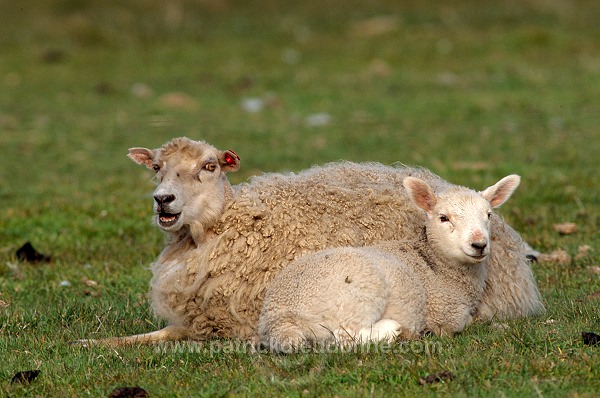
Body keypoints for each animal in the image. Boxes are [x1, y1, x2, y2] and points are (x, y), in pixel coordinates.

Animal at [258, 174, 520, 352]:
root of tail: (278, 318)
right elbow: (468, 323)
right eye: (443, 218)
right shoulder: (446, 316)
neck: (437, 265)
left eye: (488, 215)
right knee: (347, 337)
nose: (479, 244)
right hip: (359, 289)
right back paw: (392, 329)